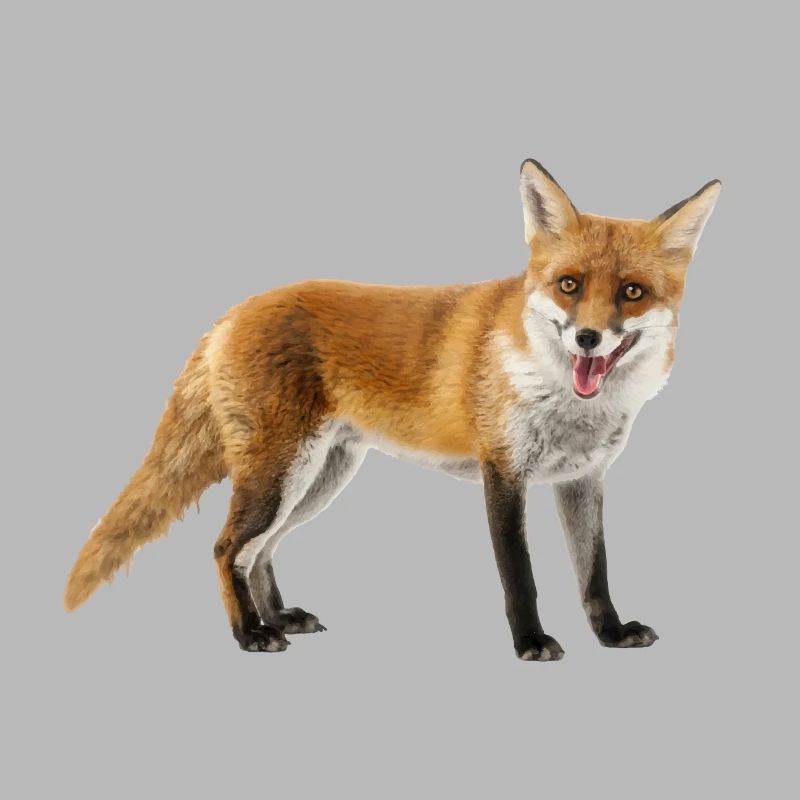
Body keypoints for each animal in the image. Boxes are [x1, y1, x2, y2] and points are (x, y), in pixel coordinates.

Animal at [65, 159, 720, 660]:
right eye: (569, 285)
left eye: (632, 292)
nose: (587, 338)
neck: (562, 397)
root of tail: (234, 311)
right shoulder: (503, 473)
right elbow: (521, 579)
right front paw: (531, 643)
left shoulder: (583, 479)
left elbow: (595, 572)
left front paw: (611, 633)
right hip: (280, 475)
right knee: (228, 549)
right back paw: (249, 633)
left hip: (317, 479)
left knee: (261, 552)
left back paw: (277, 618)